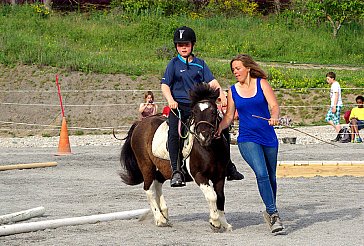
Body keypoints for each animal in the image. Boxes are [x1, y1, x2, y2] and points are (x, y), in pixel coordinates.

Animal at [119, 83, 233, 232]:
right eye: (194, 112)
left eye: (214, 112)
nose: (204, 136)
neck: (209, 149)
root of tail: (140, 123)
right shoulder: (199, 175)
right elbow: (212, 196)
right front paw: (215, 222)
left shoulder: (219, 176)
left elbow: (221, 197)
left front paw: (225, 223)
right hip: (146, 165)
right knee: (149, 190)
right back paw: (159, 219)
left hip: (162, 168)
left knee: (157, 185)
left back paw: (164, 213)